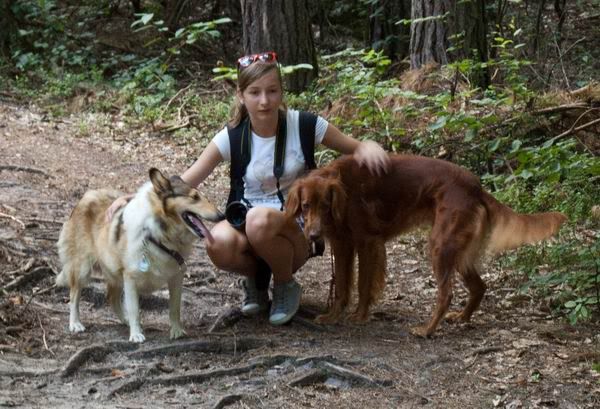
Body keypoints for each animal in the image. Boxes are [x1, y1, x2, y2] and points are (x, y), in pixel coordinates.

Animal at [56, 168, 224, 343]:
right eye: (194, 197)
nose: (222, 215)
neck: (159, 234)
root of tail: (87, 195)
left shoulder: (176, 277)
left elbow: (175, 308)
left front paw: (176, 331)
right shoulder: (130, 278)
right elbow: (134, 310)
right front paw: (136, 334)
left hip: (114, 271)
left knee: (112, 298)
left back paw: (124, 321)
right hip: (82, 268)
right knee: (74, 295)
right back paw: (75, 323)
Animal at [286, 154, 567, 337]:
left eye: (325, 205)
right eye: (306, 205)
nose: (313, 235)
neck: (344, 187)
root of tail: (476, 186)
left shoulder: (367, 241)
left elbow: (364, 284)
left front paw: (360, 316)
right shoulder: (343, 244)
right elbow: (342, 287)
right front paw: (332, 316)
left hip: (440, 246)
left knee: (446, 294)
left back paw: (427, 330)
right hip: (456, 250)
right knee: (479, 286)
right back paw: (462, 318)